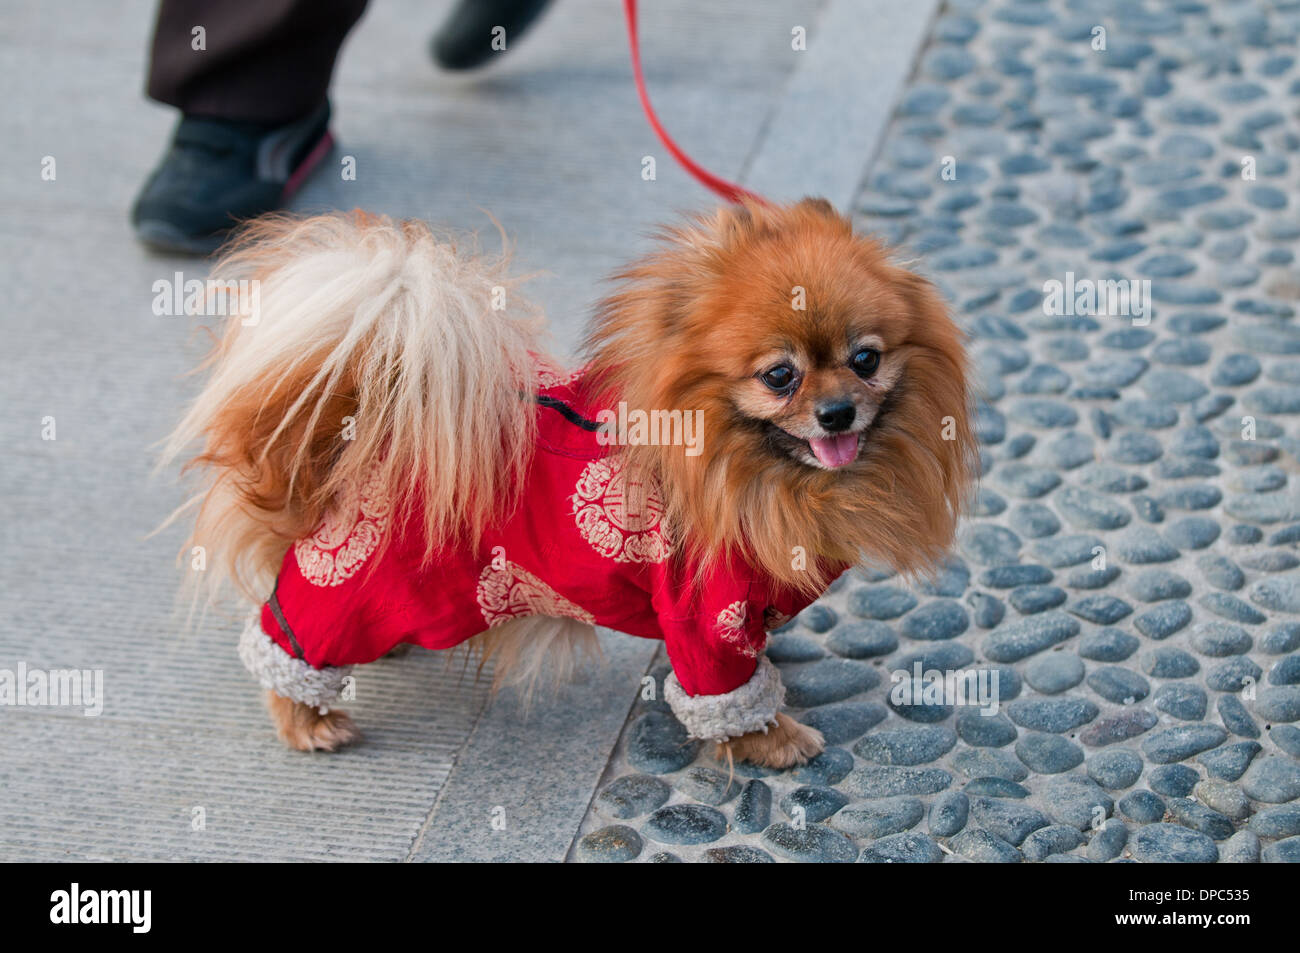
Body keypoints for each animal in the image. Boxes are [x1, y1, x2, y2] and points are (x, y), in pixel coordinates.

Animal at [165, 198, 977, 764]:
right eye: (780, 376)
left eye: (866, 359)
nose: (838, 411)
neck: (741, 467)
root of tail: (367, 434)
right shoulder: (705, 615)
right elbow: (727, 693)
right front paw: (771, 740)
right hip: (360, 580)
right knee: (287, 640)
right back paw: (309, 721)